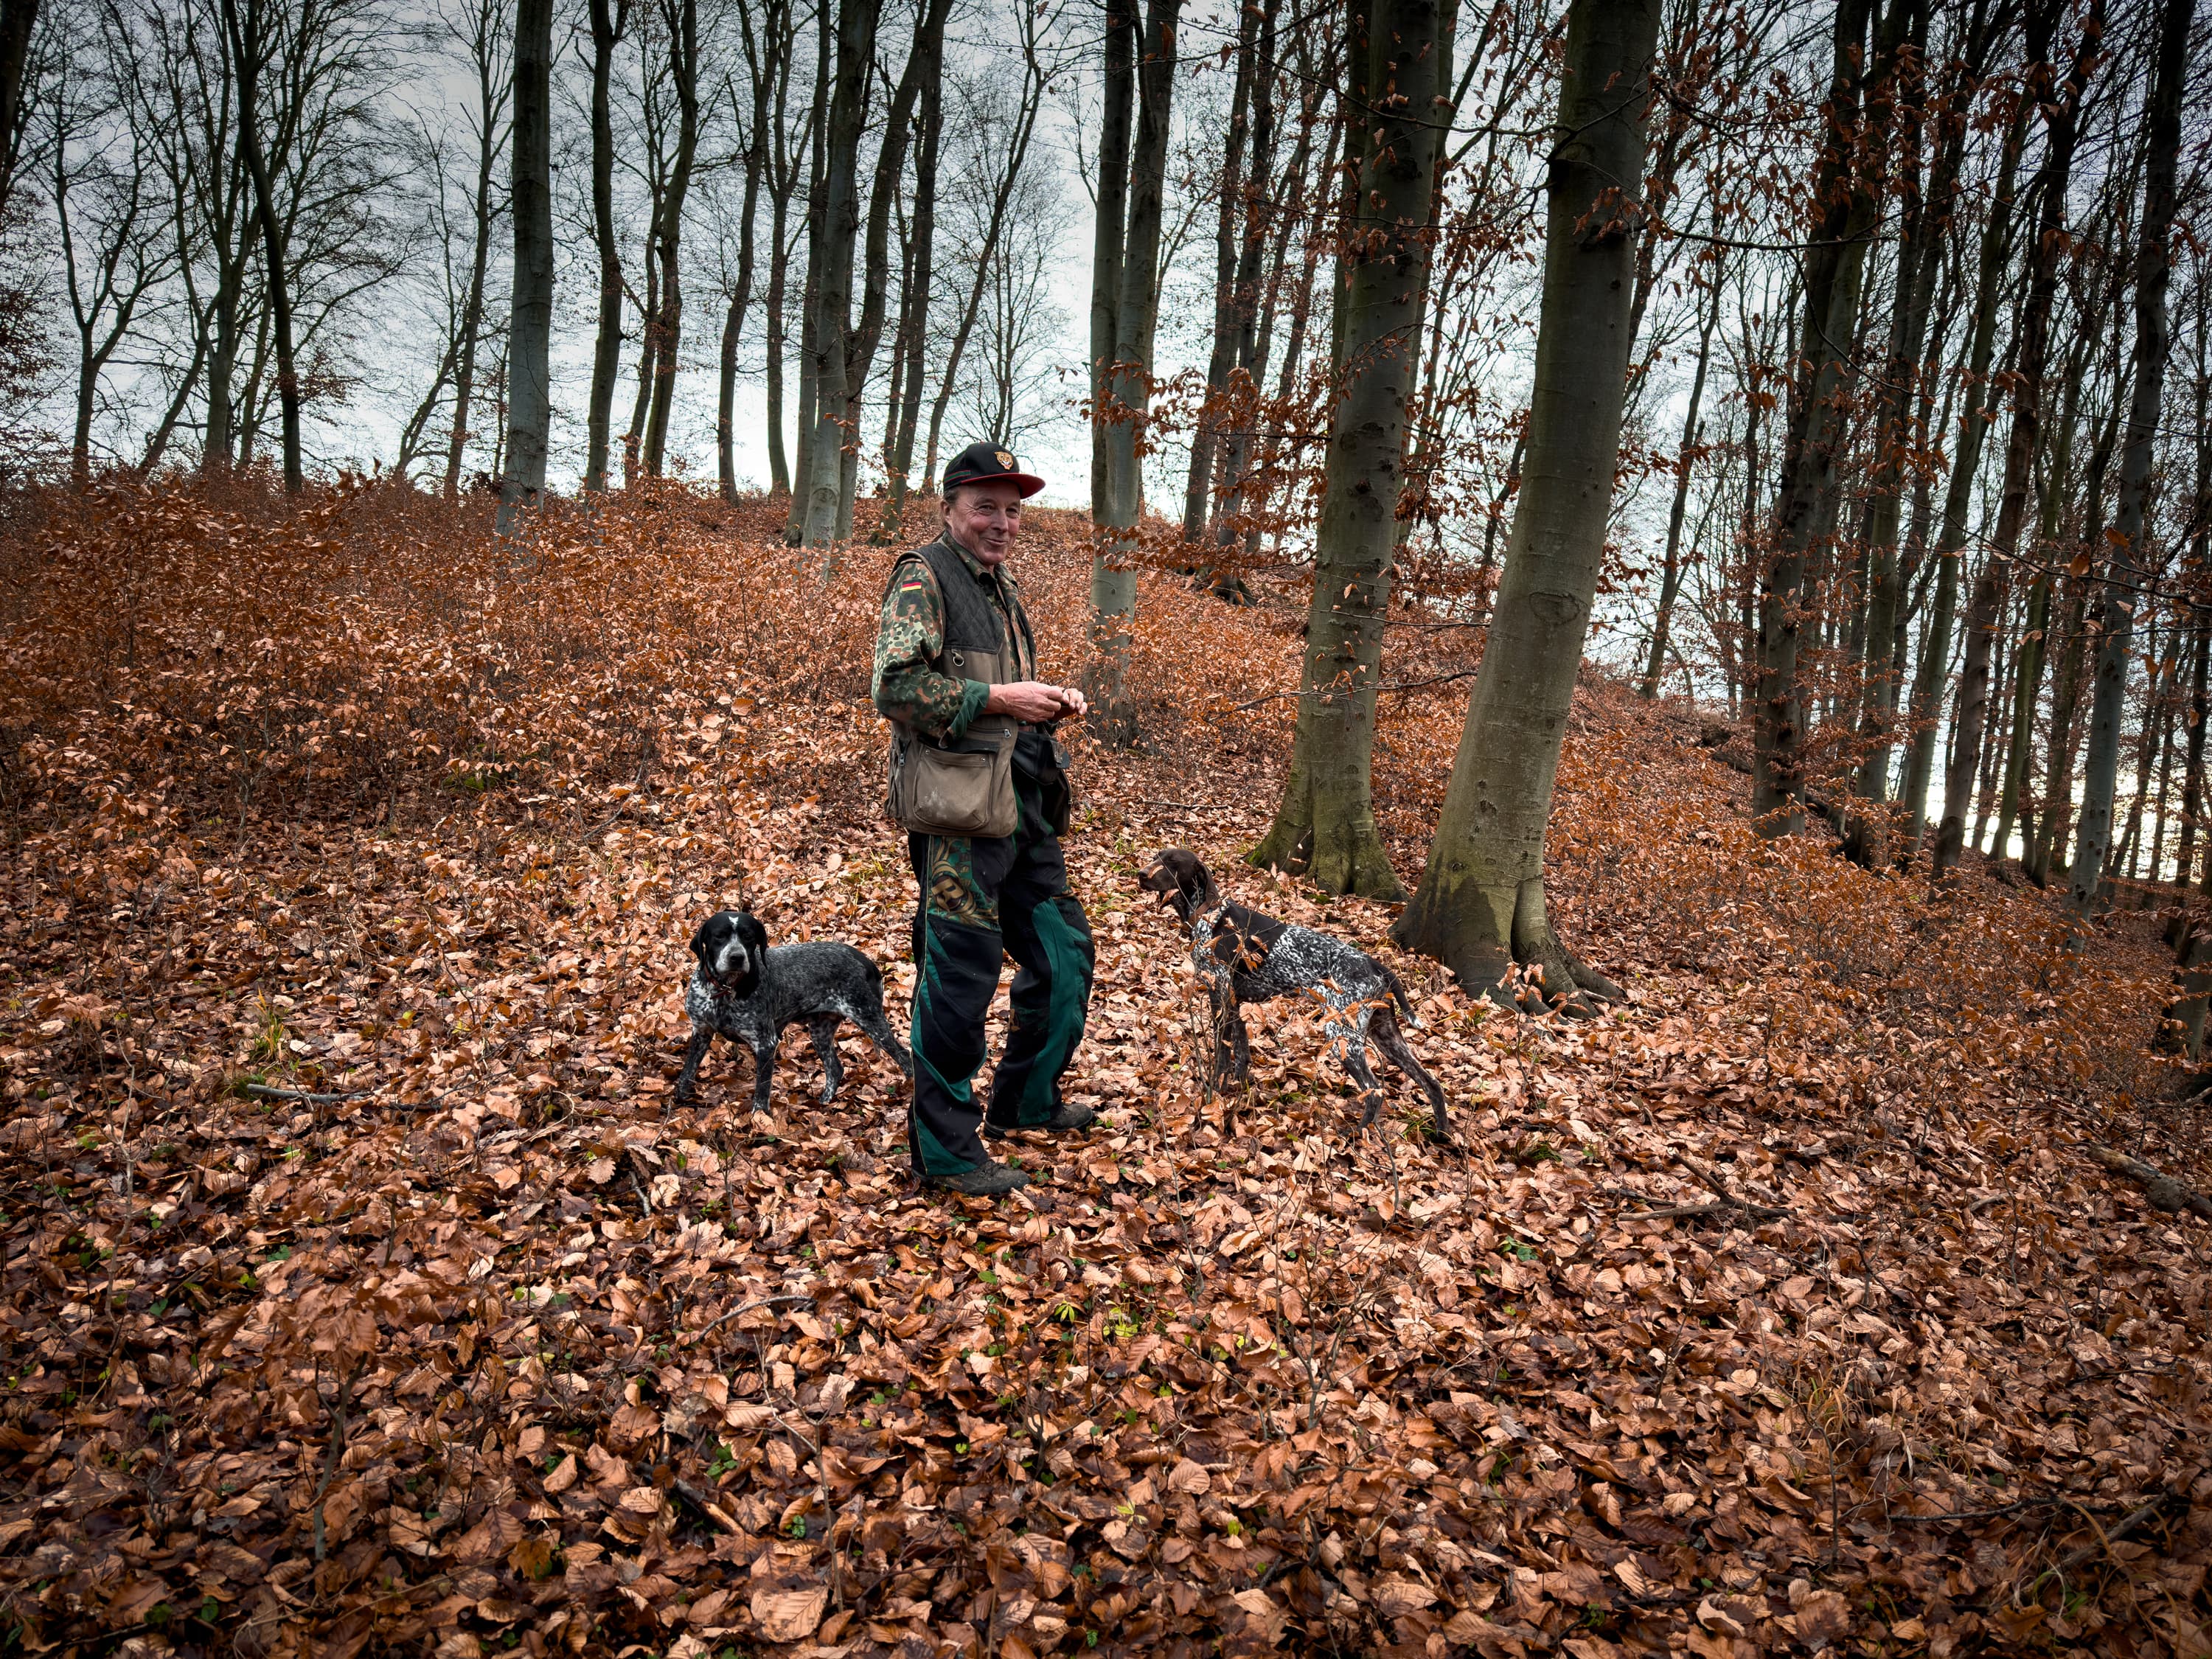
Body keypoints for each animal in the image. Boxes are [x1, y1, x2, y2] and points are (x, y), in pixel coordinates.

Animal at [677, 916, 911, 1110]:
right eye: (719, 936)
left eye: (748, 937)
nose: (737, 957)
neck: (724, 990)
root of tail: (866, 961)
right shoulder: (701, 1032)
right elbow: (686, 1074)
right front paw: (677, 1103)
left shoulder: (766, 1044)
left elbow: (762, 1092)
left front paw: (757, 1123)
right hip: (820, 1031)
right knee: (835, 1069)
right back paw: (823, 1103)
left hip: (871, 1021)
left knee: (904, 1056)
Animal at [1141, 849, 1451, 1141]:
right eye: (1157, 856)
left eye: (1172, 862)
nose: (1141, 874)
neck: (1209, 916)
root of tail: (1375, 965)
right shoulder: (1235, 1005)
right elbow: (1241, 1056)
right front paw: (1237, 1097)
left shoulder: (1220, 1000)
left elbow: (1222, 1058)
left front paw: (1215, 1097)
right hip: (1385, 1034)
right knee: (1432, 1084)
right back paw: (1443, 1135)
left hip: (1341, 1034)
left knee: (1374, 1090)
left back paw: (1357, 1133)